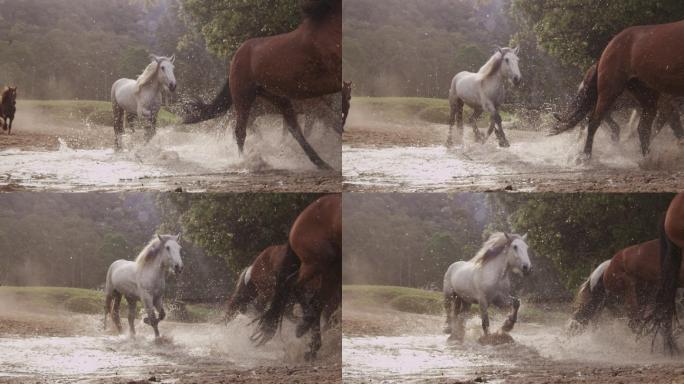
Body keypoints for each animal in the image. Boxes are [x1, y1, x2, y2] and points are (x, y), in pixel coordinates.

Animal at [184, 0, 342, 171]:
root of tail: (235, 58)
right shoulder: (321, 99)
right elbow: (335, 120)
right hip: (244, 97)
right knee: (240, 131)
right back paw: (246, 162)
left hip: (278, 98)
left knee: (294, 129)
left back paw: (321, 163)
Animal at [252, 194, 340, 362]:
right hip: (319, 262)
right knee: (294, 286)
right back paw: (303, 328)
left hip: (331, 268)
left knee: (317, 301)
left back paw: (311, 345)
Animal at [560, 20, 684, 159]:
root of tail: (605, 52)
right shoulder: (667, 103)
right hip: (609, 92)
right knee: (593, 123)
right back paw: (585, 157)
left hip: (646, 96)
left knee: (642, 128)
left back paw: (646, 157)